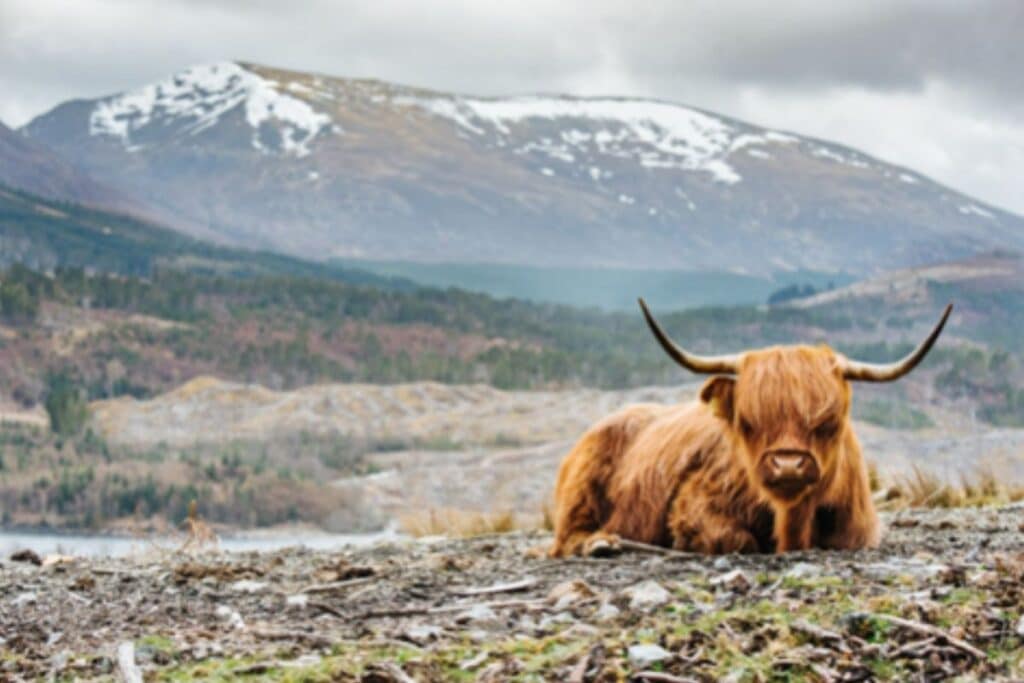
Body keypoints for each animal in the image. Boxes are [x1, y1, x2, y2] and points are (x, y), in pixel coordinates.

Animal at [549, 301, 952, 556]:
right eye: (748, 421)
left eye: (828, 421)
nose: (788, 465)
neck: (793, 522)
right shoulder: (694, 505)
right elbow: (736, 539)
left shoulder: (858, 531)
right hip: (581, 488)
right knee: (566, 536)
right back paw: (600, 544)